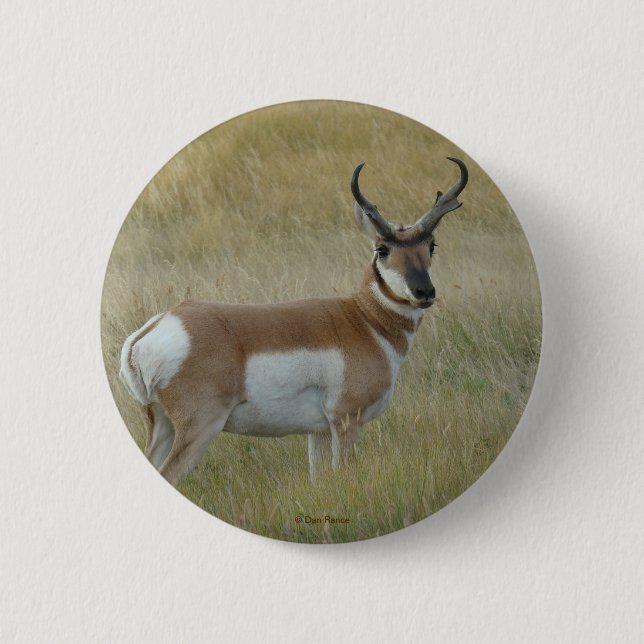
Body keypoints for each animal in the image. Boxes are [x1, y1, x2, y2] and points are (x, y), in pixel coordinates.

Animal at [120, 157, 468, 486]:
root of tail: (151, 332)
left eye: (431, 245)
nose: (424, 291)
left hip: (162, 427)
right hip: (200, 428)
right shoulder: (346, 421)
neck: (364, 321)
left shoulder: (319, 431)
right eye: (382, 249)